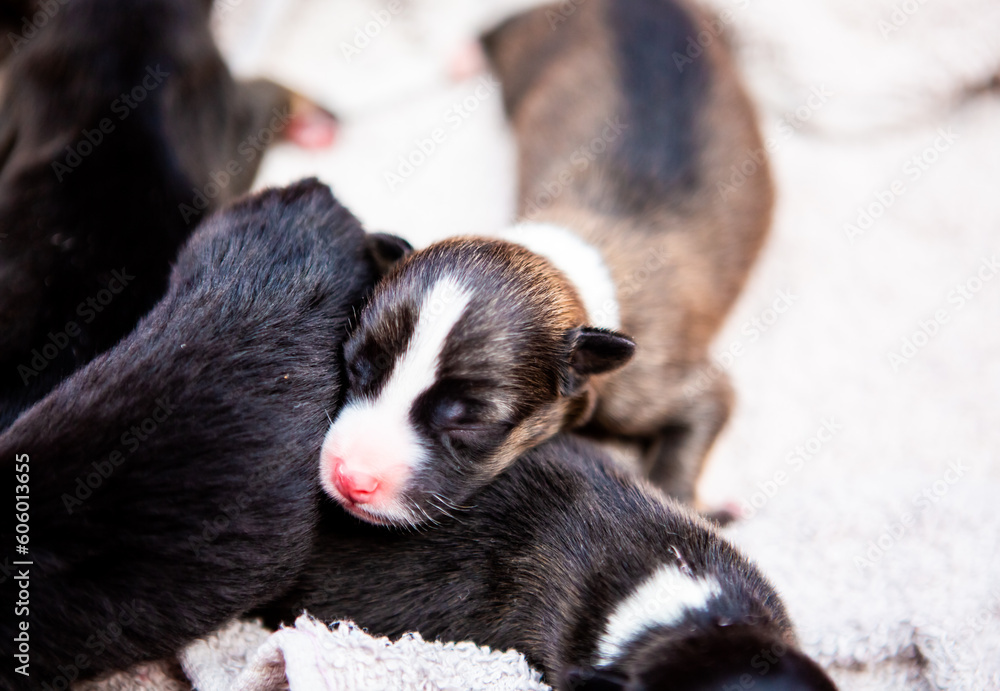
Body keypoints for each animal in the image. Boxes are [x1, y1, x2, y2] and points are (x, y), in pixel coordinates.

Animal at [316, 0, 768, 528]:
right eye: (357, 367)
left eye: (466, 420)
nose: (351, 478)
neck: (560, 263)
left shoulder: (657, 383)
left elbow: (705, 410)